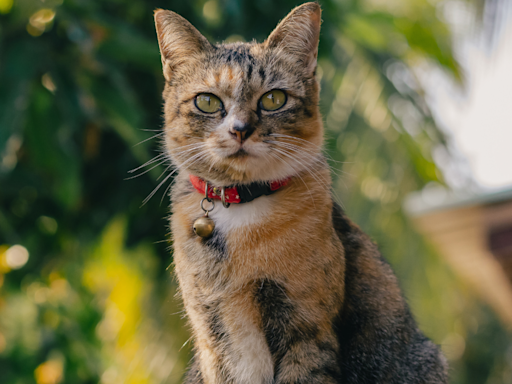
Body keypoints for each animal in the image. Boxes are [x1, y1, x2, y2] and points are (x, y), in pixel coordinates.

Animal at [153, 3, 448, 384]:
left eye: (273, 98)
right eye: (207, 101)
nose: (240, 130)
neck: (241, 210)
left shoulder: (306, 325)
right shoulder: (215, 331)